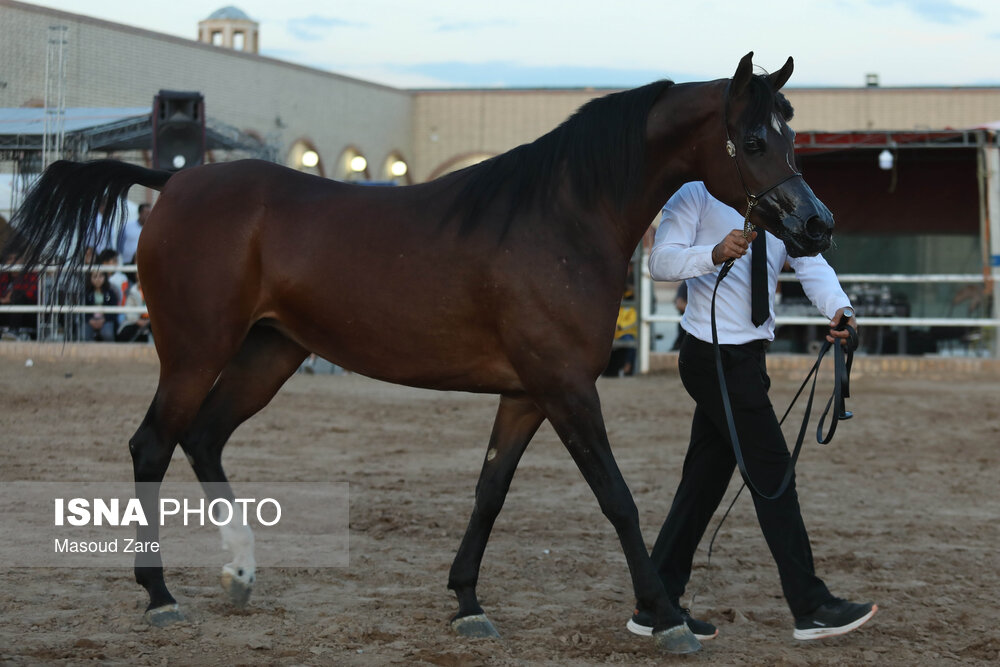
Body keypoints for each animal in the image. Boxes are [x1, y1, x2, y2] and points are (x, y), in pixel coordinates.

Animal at [5, 53, 836, 656]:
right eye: (754, 140)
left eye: (794, 134)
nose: (816, 224)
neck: (563, 217)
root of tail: (172, 181)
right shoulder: (568, 389)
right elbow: (619, 497)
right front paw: (666, 615)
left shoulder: (528, 393)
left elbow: (490, 490)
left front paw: (467, 601)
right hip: (194, 351)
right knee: (153, 443)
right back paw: (160, 596)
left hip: (269, 352)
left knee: (204, 437)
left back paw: (239, 572)